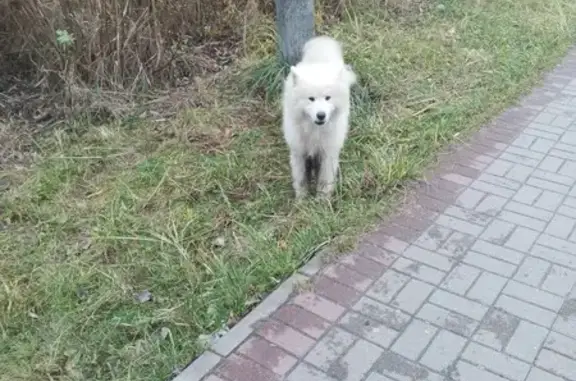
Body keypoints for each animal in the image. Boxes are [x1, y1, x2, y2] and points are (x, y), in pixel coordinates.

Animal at [282, 35, 358, 199]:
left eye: (328, 98)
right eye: (311, 99)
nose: (321, 115)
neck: (314, 131)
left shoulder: (328, 152)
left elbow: (325, 179)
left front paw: (322, 200)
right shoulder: (299, 151)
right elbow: (301, 179)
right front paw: (302, 200)